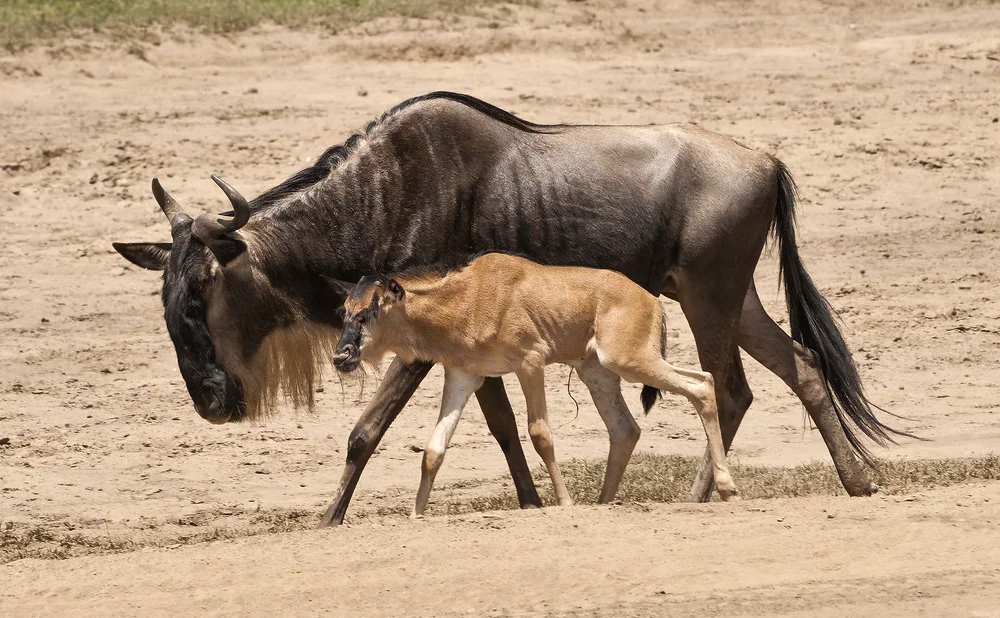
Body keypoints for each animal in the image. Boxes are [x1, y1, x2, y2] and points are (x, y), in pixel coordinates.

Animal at [328, 251, 736, 516]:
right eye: (345, 312)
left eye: (368, 313)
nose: (340, 356)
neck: (470, 295)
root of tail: (652, 300)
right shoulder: (464, 375)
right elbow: (433, 449)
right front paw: (416, 515)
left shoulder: (530, 363)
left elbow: (540, 434)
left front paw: (565, 502)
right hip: (597, 372)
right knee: (625, 428)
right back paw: (603, 503)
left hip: (630, 361)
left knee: (702, 384)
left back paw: (729, 488)